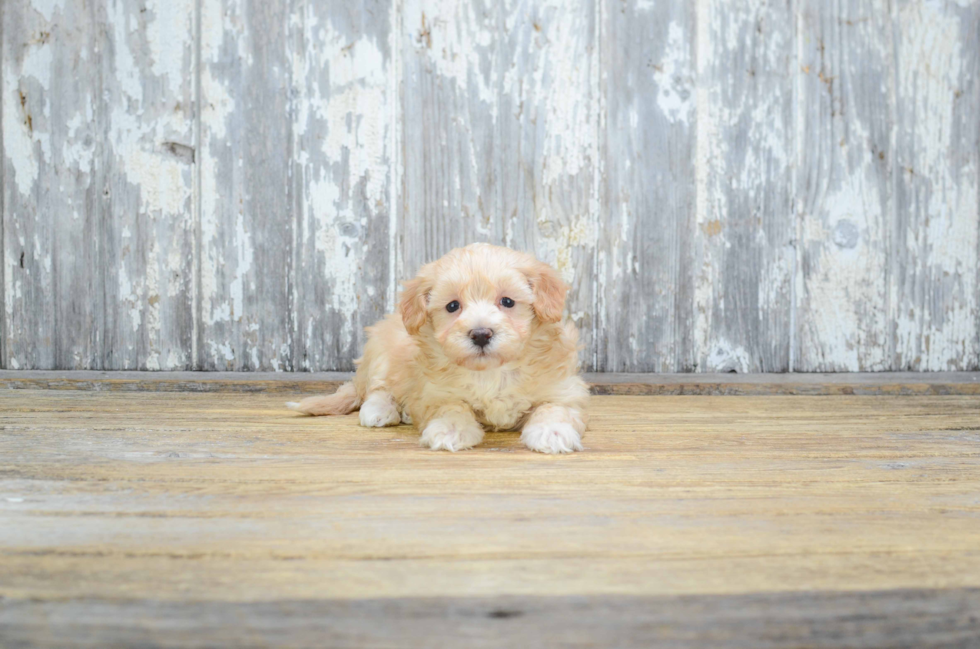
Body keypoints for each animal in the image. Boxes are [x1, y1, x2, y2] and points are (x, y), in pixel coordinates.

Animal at [286, 240, 588, 454]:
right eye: (453, 306)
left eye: (508, 302)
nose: (480, 334)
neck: (490, 373)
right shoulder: (436, 391)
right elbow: (452, 407)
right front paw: (451, 429)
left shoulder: (563, 387)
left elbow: (553, 407)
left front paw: (552, 432)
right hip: (384, 351)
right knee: (378, 388)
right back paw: (380, 410)